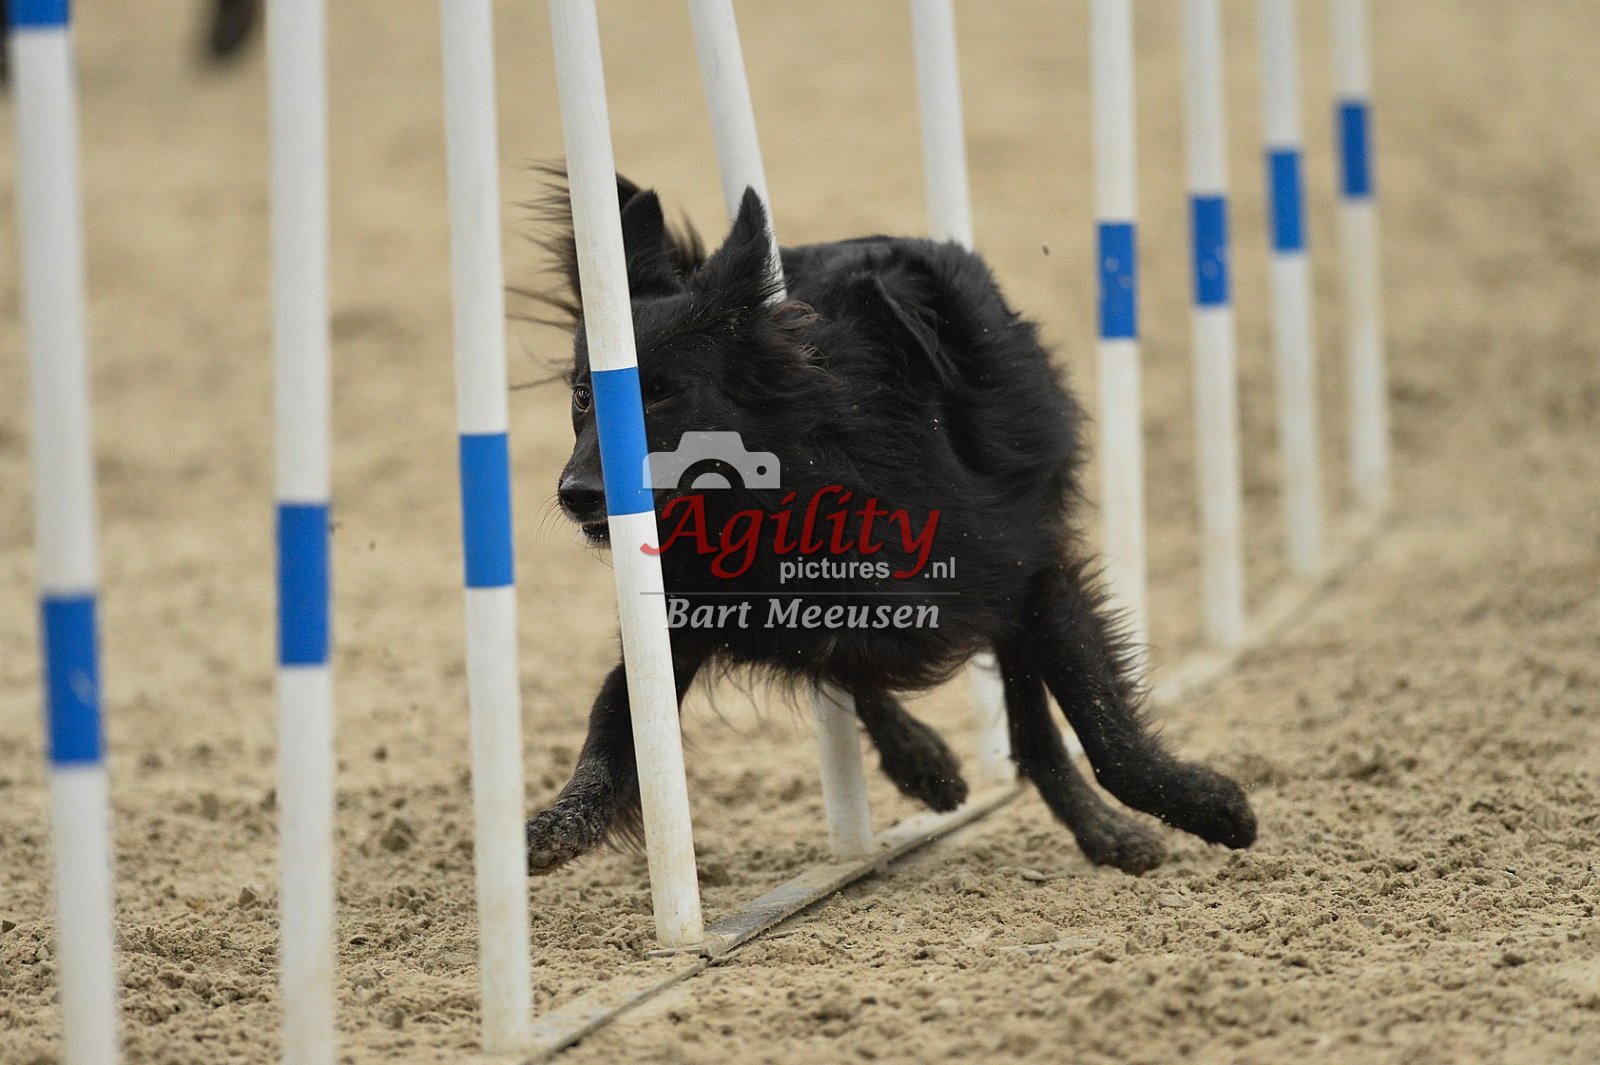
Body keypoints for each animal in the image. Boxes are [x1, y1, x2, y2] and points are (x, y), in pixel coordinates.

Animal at [527, 177, 1256, 876]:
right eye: (584, 395)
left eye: (664, 395)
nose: (577, 495)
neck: (794, 489)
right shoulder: (688, 618)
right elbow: (615, 720)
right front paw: (561, 821)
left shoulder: (1030, 571)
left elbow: (1104, 729)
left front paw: (1210, 805)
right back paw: (921, 756)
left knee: (1027, 720)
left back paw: (1094, 824)